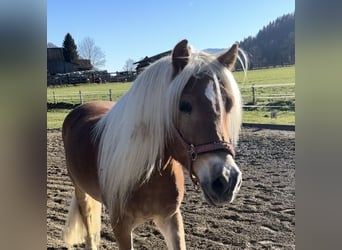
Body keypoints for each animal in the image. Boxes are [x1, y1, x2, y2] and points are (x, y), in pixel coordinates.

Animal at [62, 39, 246, 250]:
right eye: (184, 105)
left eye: (229, 103)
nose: (226, 180)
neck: (147, 174)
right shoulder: (121, 228)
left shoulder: (171, 219)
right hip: (81, 193)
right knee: (90, 232)